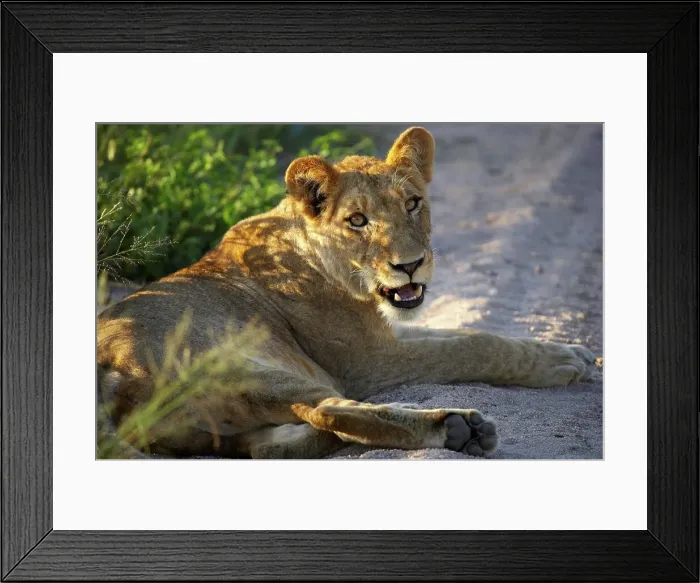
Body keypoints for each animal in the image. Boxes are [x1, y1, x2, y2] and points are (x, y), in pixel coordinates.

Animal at [97, 127, 595, 459]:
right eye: (357, 221)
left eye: (413, 203)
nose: (410, 264)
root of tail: (109, 372)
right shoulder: (367, 362)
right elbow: (472, 347)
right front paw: (560, 363)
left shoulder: (384, 333)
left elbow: (463, 333)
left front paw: (569, 350)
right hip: (249, 364)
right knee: (329, 409)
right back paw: (457, 427)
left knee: (272, 446)